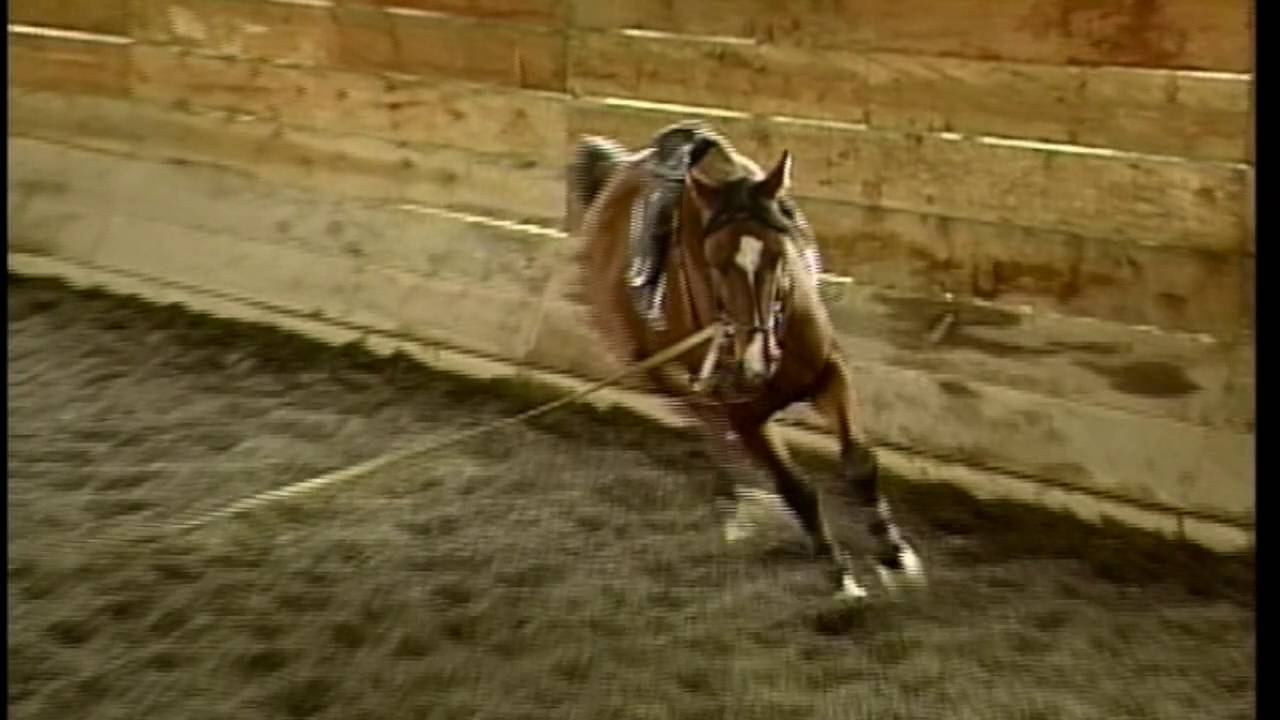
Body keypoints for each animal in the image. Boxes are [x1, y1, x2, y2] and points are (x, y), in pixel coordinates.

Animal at [567, 121, 925, 600]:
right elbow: (796, 487)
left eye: (780, 251)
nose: (752, 365)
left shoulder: (829, 371)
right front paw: (840, 577)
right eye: (714, 263)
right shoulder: (744, 414)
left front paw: (896, 559)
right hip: (656, 369)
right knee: (708, 426)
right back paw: (749, 504)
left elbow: (859, 464)